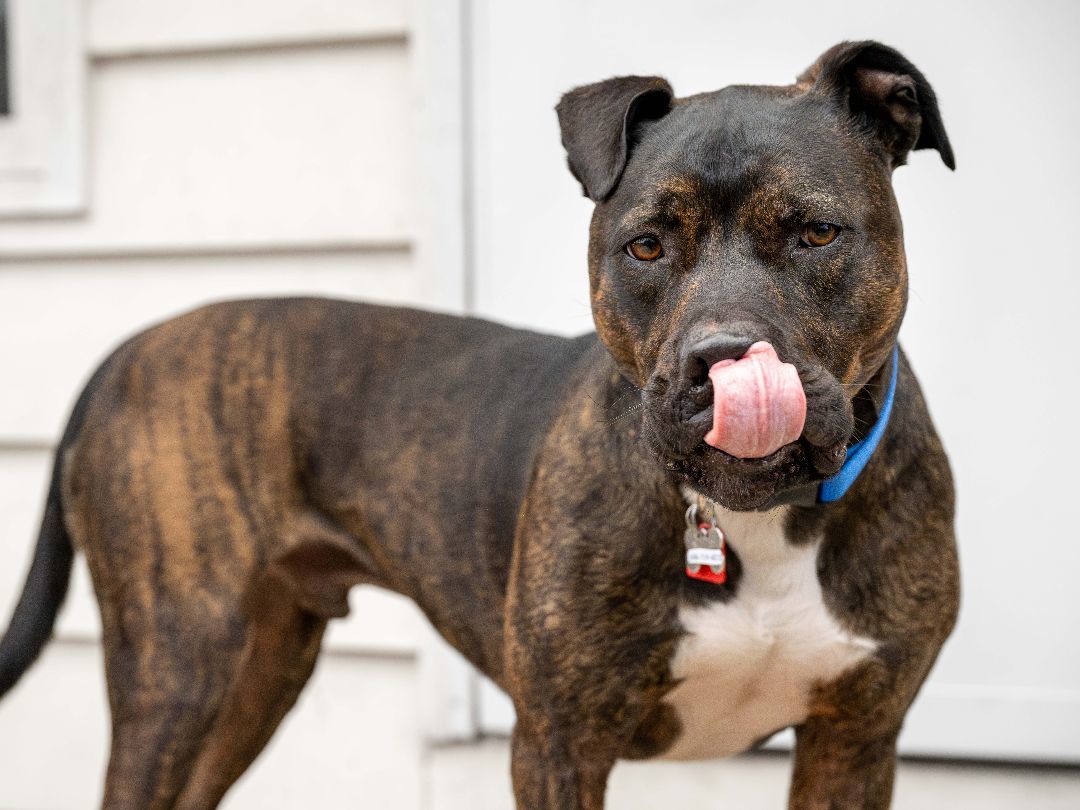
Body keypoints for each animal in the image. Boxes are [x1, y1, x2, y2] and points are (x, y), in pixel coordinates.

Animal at [2, 42, 963, 810]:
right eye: (645, 247)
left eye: (817, 234)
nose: (723, 360)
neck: (760, 520)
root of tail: (128, 350)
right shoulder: (557, 743)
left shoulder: (855, 739)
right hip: (178, 667)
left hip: (258, 669)